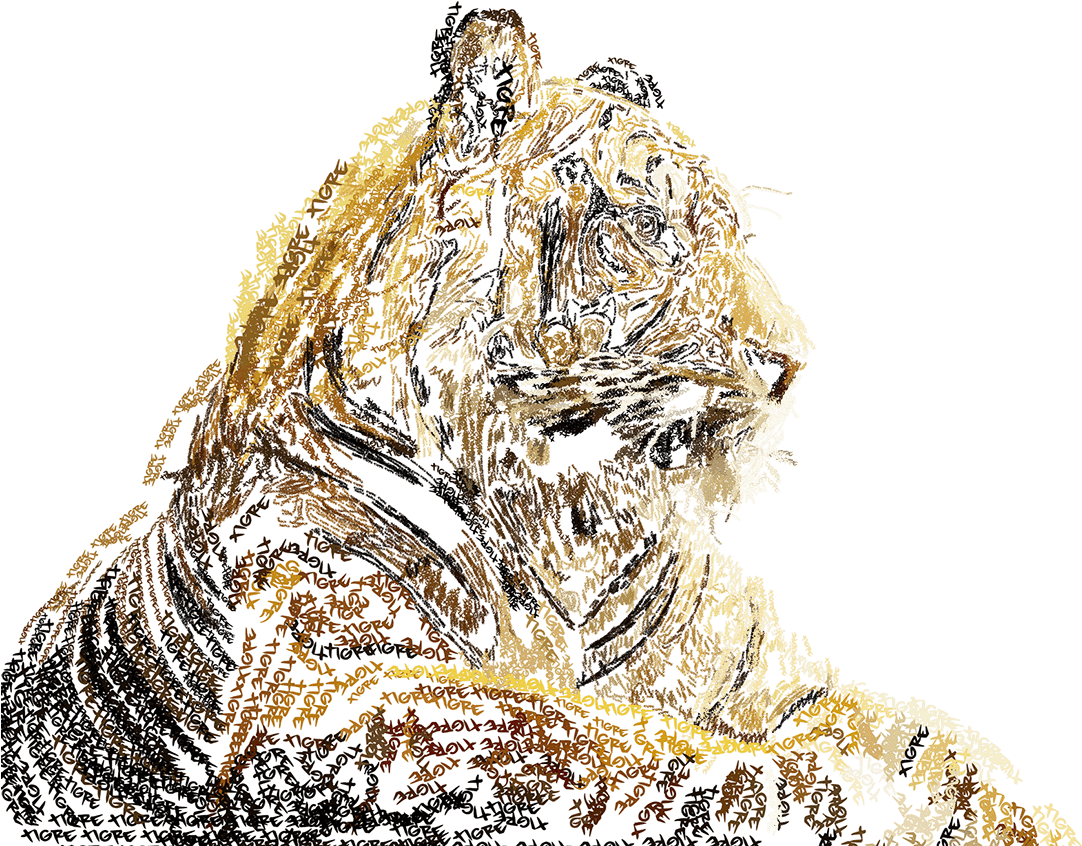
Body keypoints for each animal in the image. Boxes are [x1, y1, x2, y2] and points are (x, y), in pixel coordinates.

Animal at [2, 8, 1075, 846]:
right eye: (651, 227)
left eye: (739, 235)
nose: (792, 361)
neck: (575, 515)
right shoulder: (321, 690)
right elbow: (556, 729)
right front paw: (805, 789)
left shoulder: (756, 672)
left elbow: (915, 732)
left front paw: (990, 806)